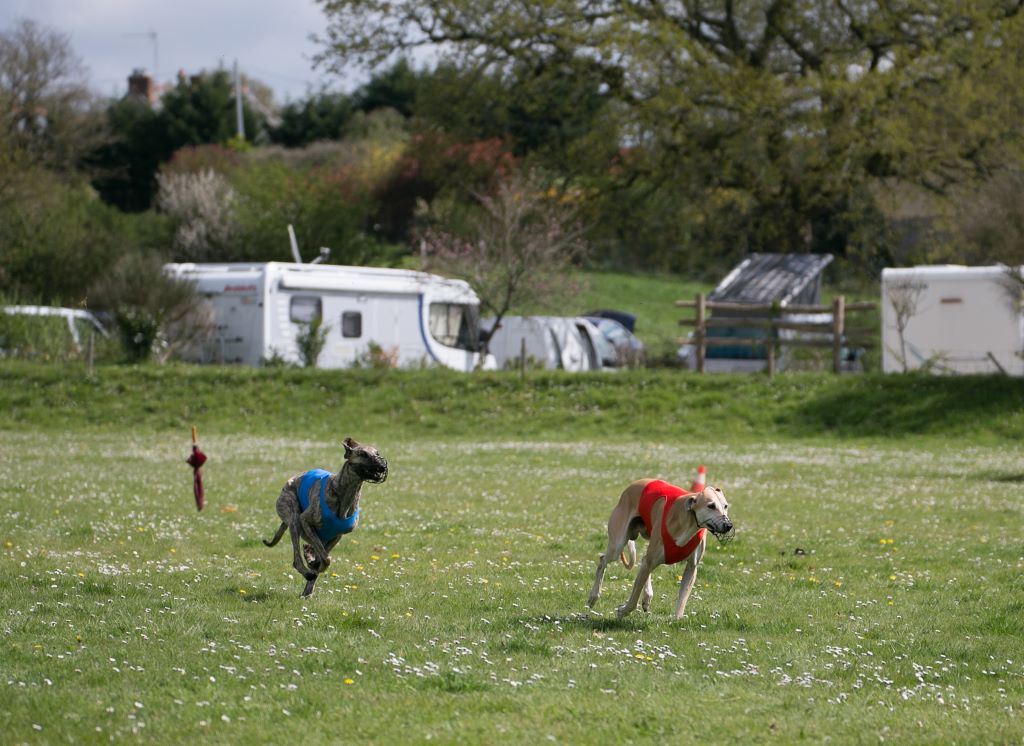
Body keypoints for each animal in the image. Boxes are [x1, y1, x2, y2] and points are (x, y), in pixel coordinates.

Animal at [264, 440, 387, 597]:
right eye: (363, 454)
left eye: (377, 453)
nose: (383, 466)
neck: (344, 493)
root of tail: (289, 481)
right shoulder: (306, 520)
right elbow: (326, 559)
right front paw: (314, 566)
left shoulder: (337, 535)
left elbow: (323, 556)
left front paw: (314, 564)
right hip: (293, 516)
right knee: (297, 558)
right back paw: (307, 572)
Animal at [589, 476, 733, 618]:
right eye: (711, 506)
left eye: (725, 506)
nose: (728, 525)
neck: (688, 523)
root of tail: (633, 484)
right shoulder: (651, 559)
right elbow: (634, 598)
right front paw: (622, 611)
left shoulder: (692, 568)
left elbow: (682, 601)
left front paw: (676, 620)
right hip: (618, 544)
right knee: (604, 559)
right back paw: (593, 596)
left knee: (643, 560)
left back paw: (647, 596)